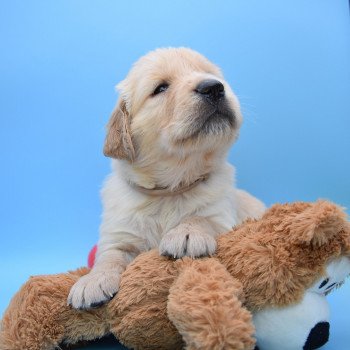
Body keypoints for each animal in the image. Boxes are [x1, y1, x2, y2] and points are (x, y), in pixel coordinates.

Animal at [67, 47, 266, 308]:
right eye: (161, 88)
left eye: (211, 74)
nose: (214, 87)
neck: (169, 189)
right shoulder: (119, 233)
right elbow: (109, 256)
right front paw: (92, 280)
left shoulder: (222, 215)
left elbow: (201, 218)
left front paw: (186, 233)